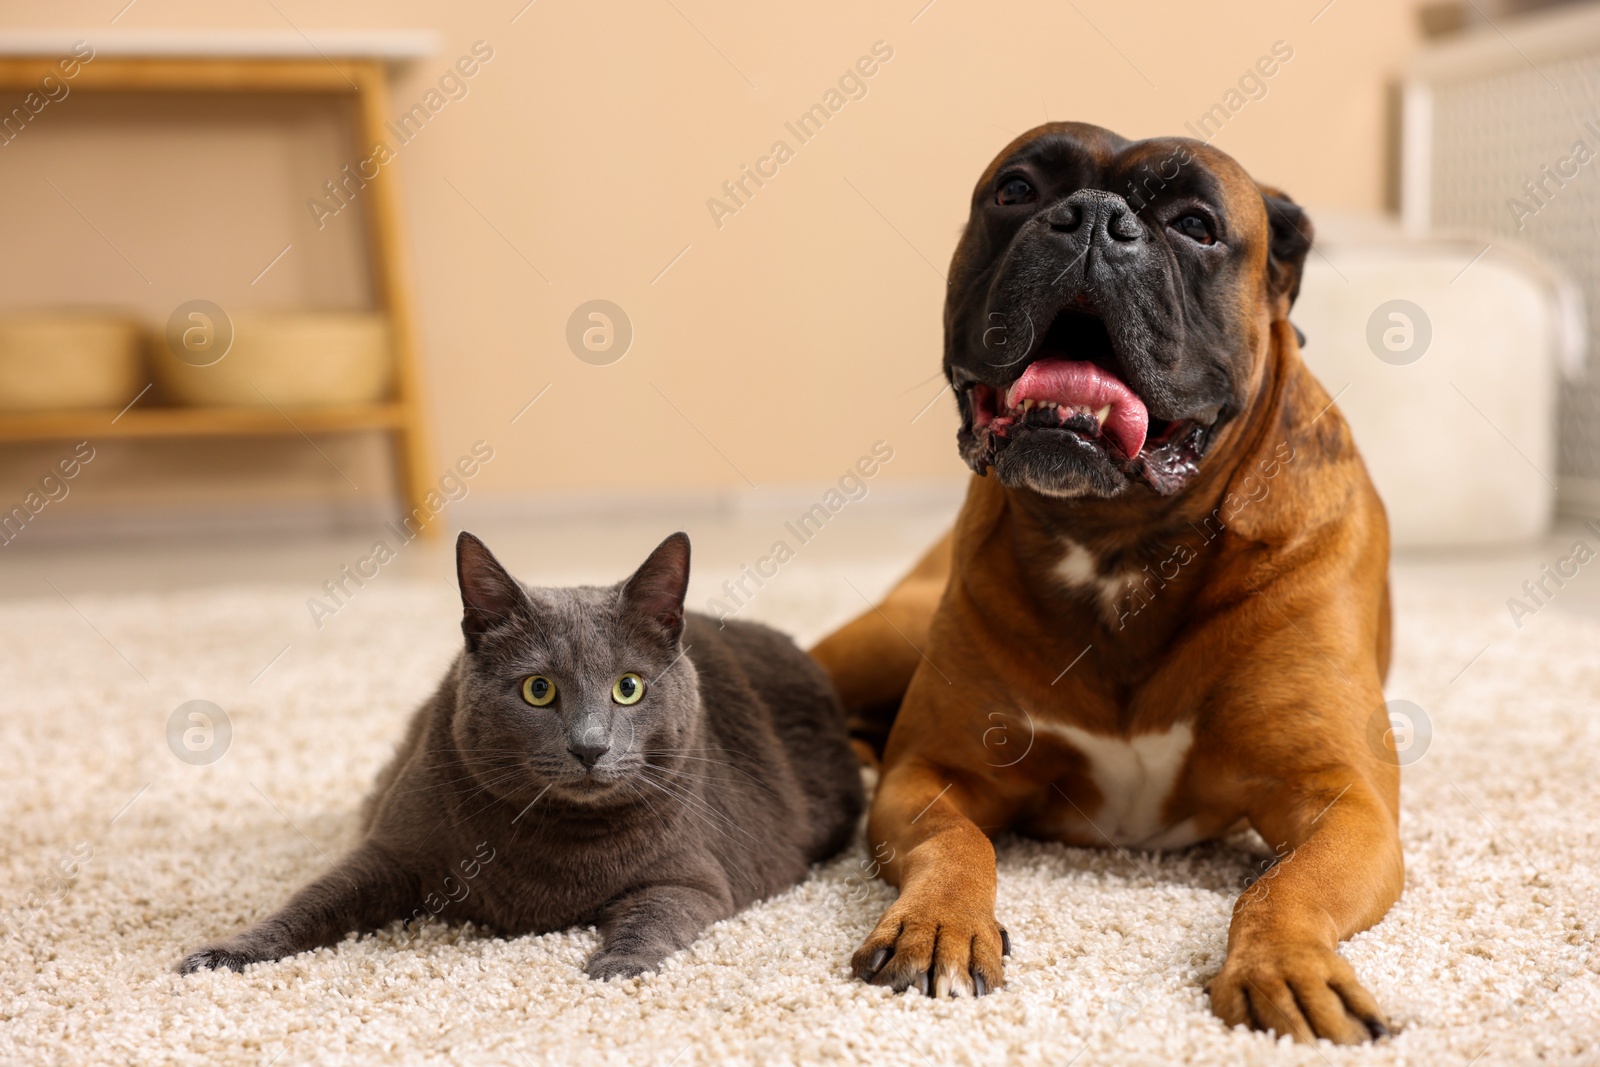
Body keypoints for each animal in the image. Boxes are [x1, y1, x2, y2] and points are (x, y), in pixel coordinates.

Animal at [178, 531, 864, 979]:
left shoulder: (693, 875)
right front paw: (224, 953)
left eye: (629, 688)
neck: (557, 839)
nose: (589, 745)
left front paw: (616, 964)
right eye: (539, 690)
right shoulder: (390, 851)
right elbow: (312, 901)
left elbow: (656, 915)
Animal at [812, 123, 1401, 1043]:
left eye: (1196, 225)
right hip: (880, 640)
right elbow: (956, 843)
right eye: (1016, 189)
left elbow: (1284, 887)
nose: (1091, 218)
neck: (1119, 541)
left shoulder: (1345, 804)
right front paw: (940, 921)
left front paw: (1286, 964)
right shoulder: (932, 773)